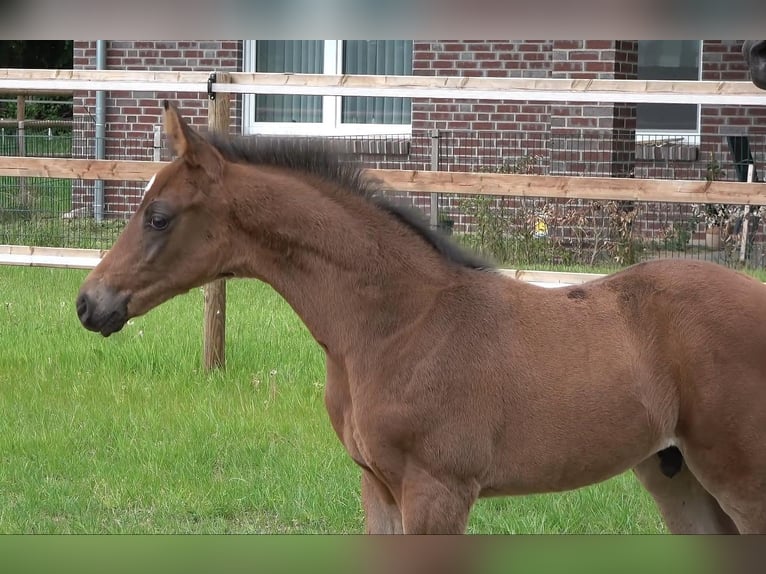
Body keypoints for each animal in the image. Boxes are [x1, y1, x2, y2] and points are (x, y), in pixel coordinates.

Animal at [76, 101, 766, 534]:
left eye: (159, 216)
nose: (89, 303)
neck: (397, 324)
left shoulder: (439, 491)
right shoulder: (378, 488)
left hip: (740, 479)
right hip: (679, 478)